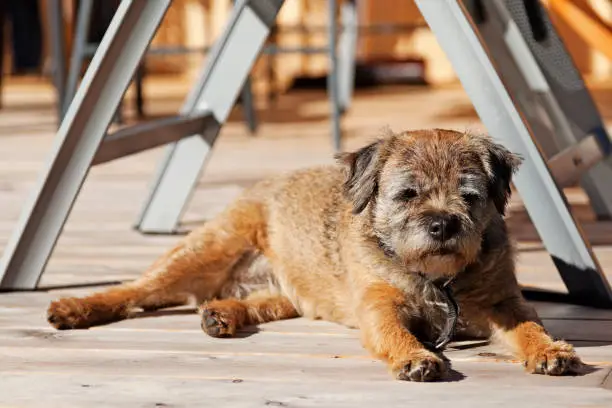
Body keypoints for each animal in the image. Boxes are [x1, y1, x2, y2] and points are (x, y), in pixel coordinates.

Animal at [47, 129, 584, 380]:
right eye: (407, 195)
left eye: (469, 196)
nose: (442, 224)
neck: (437, 279)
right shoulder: (378, 304)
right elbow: (393, 331)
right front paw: (415, 355)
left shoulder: (504, 302)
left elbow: (528, 326)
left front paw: (549, 350)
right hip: (207, 248)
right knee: (134, 290)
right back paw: (77, 307)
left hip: (288, 291)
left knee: (257, 302)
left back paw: (222, 313)